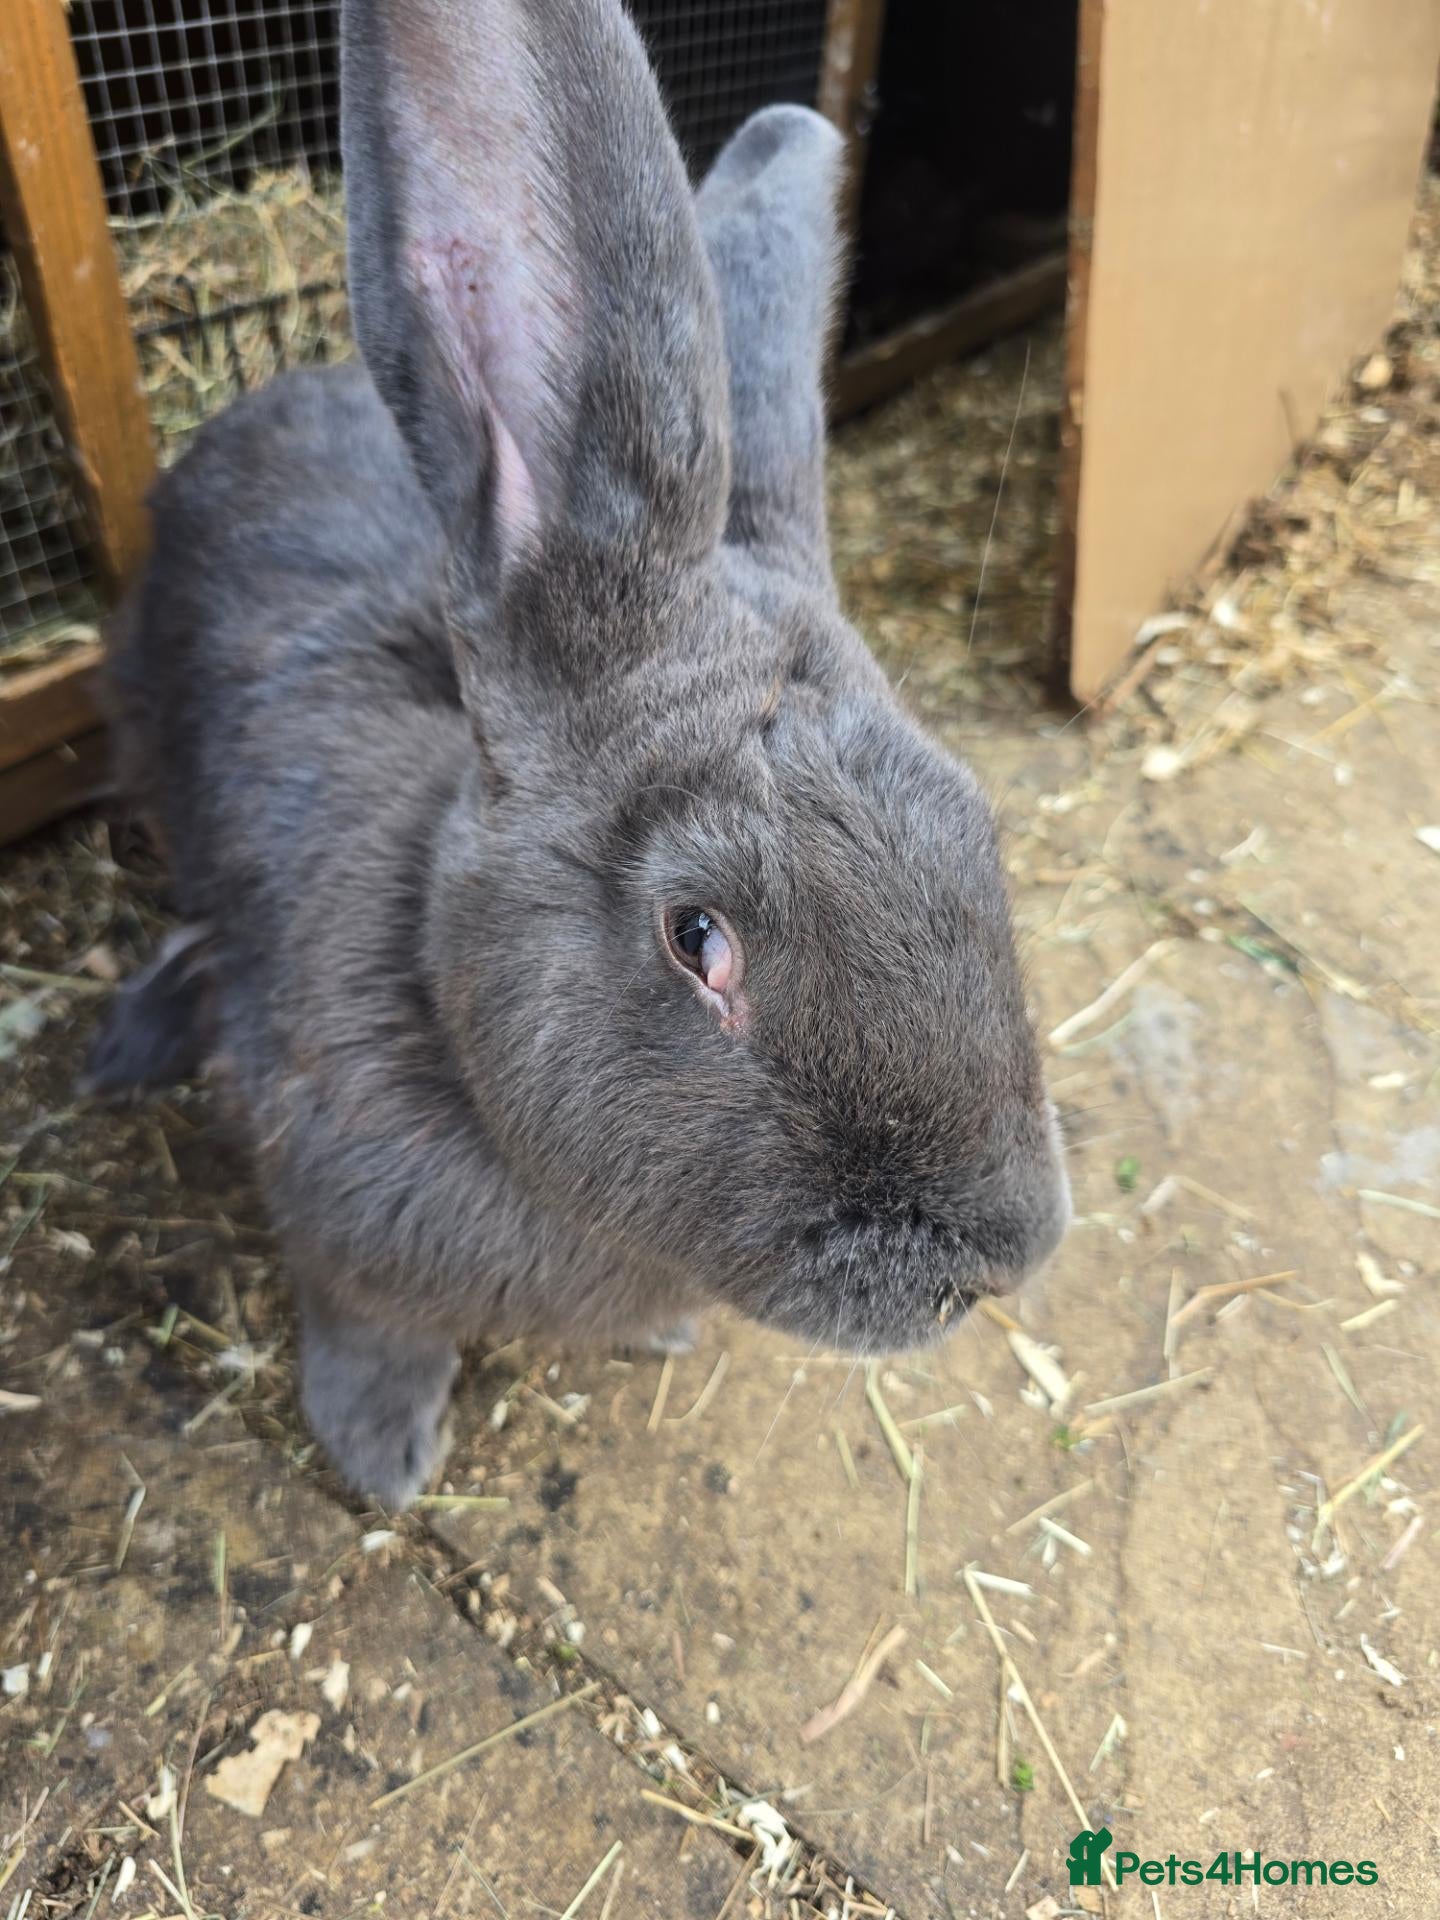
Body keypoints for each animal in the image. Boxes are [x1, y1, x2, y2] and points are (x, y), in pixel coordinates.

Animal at [88, 0, 1071, 1508]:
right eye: (698, 938)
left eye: (978, 829)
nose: (1004, 1258)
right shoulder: (334, 1224)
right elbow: (365, 1324)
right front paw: (381, 1457)